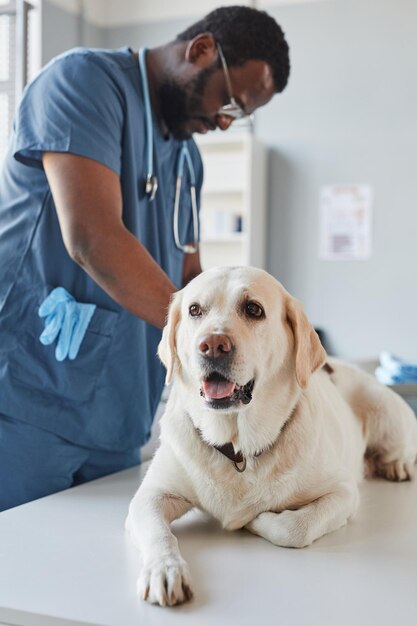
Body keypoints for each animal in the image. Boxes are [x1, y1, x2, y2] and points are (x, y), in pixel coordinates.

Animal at [126, 264, 416, 604]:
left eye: (253, 309)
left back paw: (396, 465)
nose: (212, 345)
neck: (237, 448)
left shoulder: (343, 492)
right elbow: (158, 532)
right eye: (194, 310)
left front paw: (255, 520)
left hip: (385, 410)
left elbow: (296, 528)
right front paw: (164, 570)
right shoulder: (151, 495)